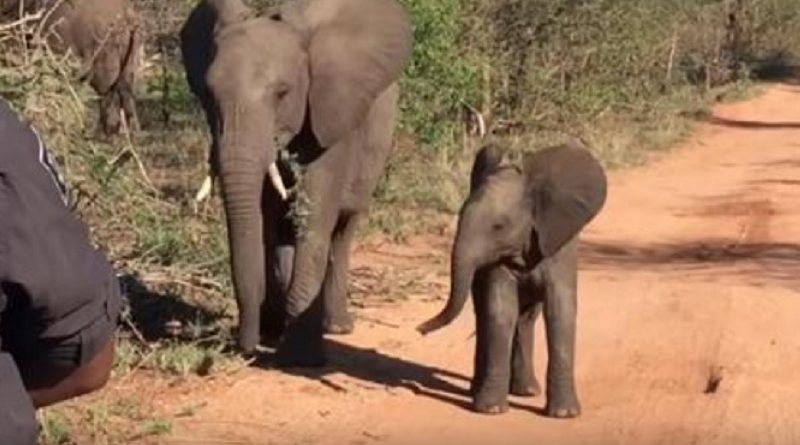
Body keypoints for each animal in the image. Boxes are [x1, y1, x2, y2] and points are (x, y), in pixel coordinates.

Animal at [180, 0, 412, 364]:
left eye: (282, 93)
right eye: (208, 94)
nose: (245, 348)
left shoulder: (330, 118)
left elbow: (315, 222)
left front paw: (300, 357)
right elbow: (265, 220)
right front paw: (274, 332)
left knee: (343, 230)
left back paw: (337, 327)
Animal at [418, 141, 608, 416]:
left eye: (498, 227)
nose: (419, 329)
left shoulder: (559, 245)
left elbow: (560, 310)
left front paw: (565, 414)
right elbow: (500, 310)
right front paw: (491, 410)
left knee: (527, 318)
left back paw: (526, 391)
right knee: (487, 315)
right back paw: (481, 391)